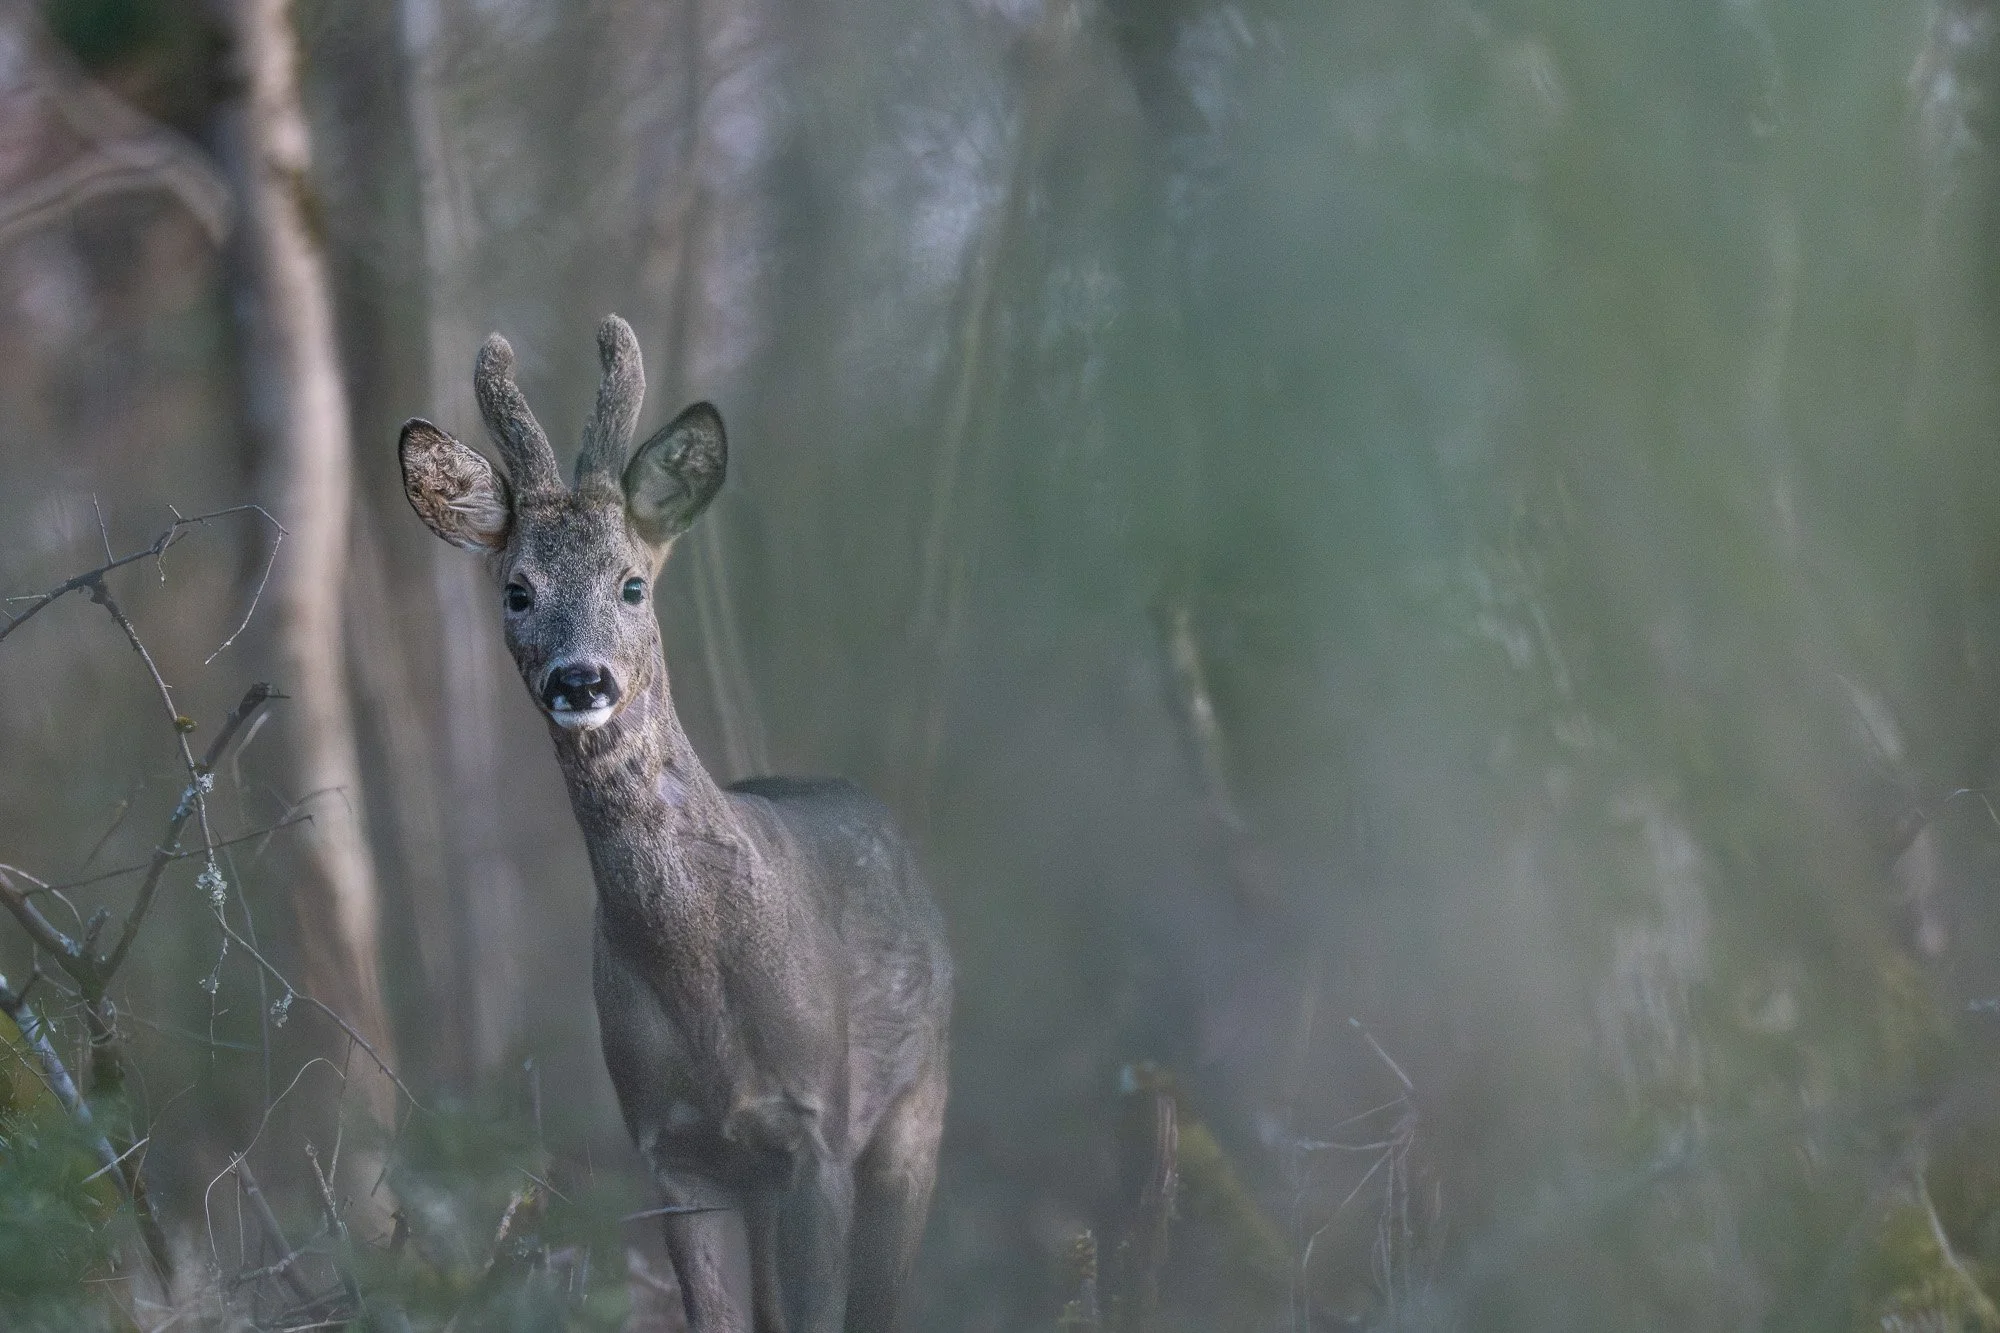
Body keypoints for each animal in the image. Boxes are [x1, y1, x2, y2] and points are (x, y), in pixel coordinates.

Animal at [398, 315, 952, 1332]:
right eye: (518, 589)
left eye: (631, 585)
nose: (581, 678)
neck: (705, 990)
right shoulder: (671, 1148)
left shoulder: (817, 1125)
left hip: (916, 1105)